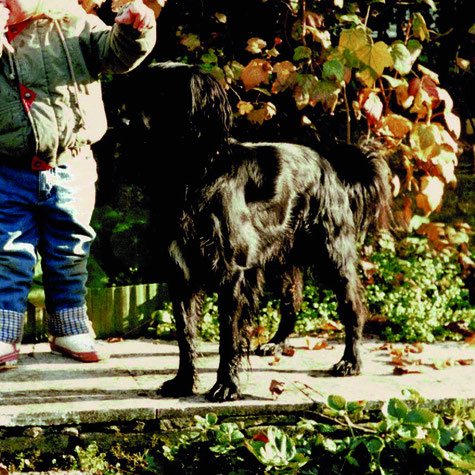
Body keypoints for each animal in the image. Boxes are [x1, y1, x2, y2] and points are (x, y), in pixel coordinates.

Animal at [124, 60, 392, 402]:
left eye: (161, 94)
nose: (123, 122)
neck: (192, 173)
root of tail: (329, 166)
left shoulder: (232, 273)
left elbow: (228, 337)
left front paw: (226, 385)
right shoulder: (180, 272)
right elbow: (185, 334)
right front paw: (183, 381)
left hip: (332, 254)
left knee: (352, 307)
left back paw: (350, 361)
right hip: (280, 258)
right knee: (293, 301)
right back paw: (277, 343)